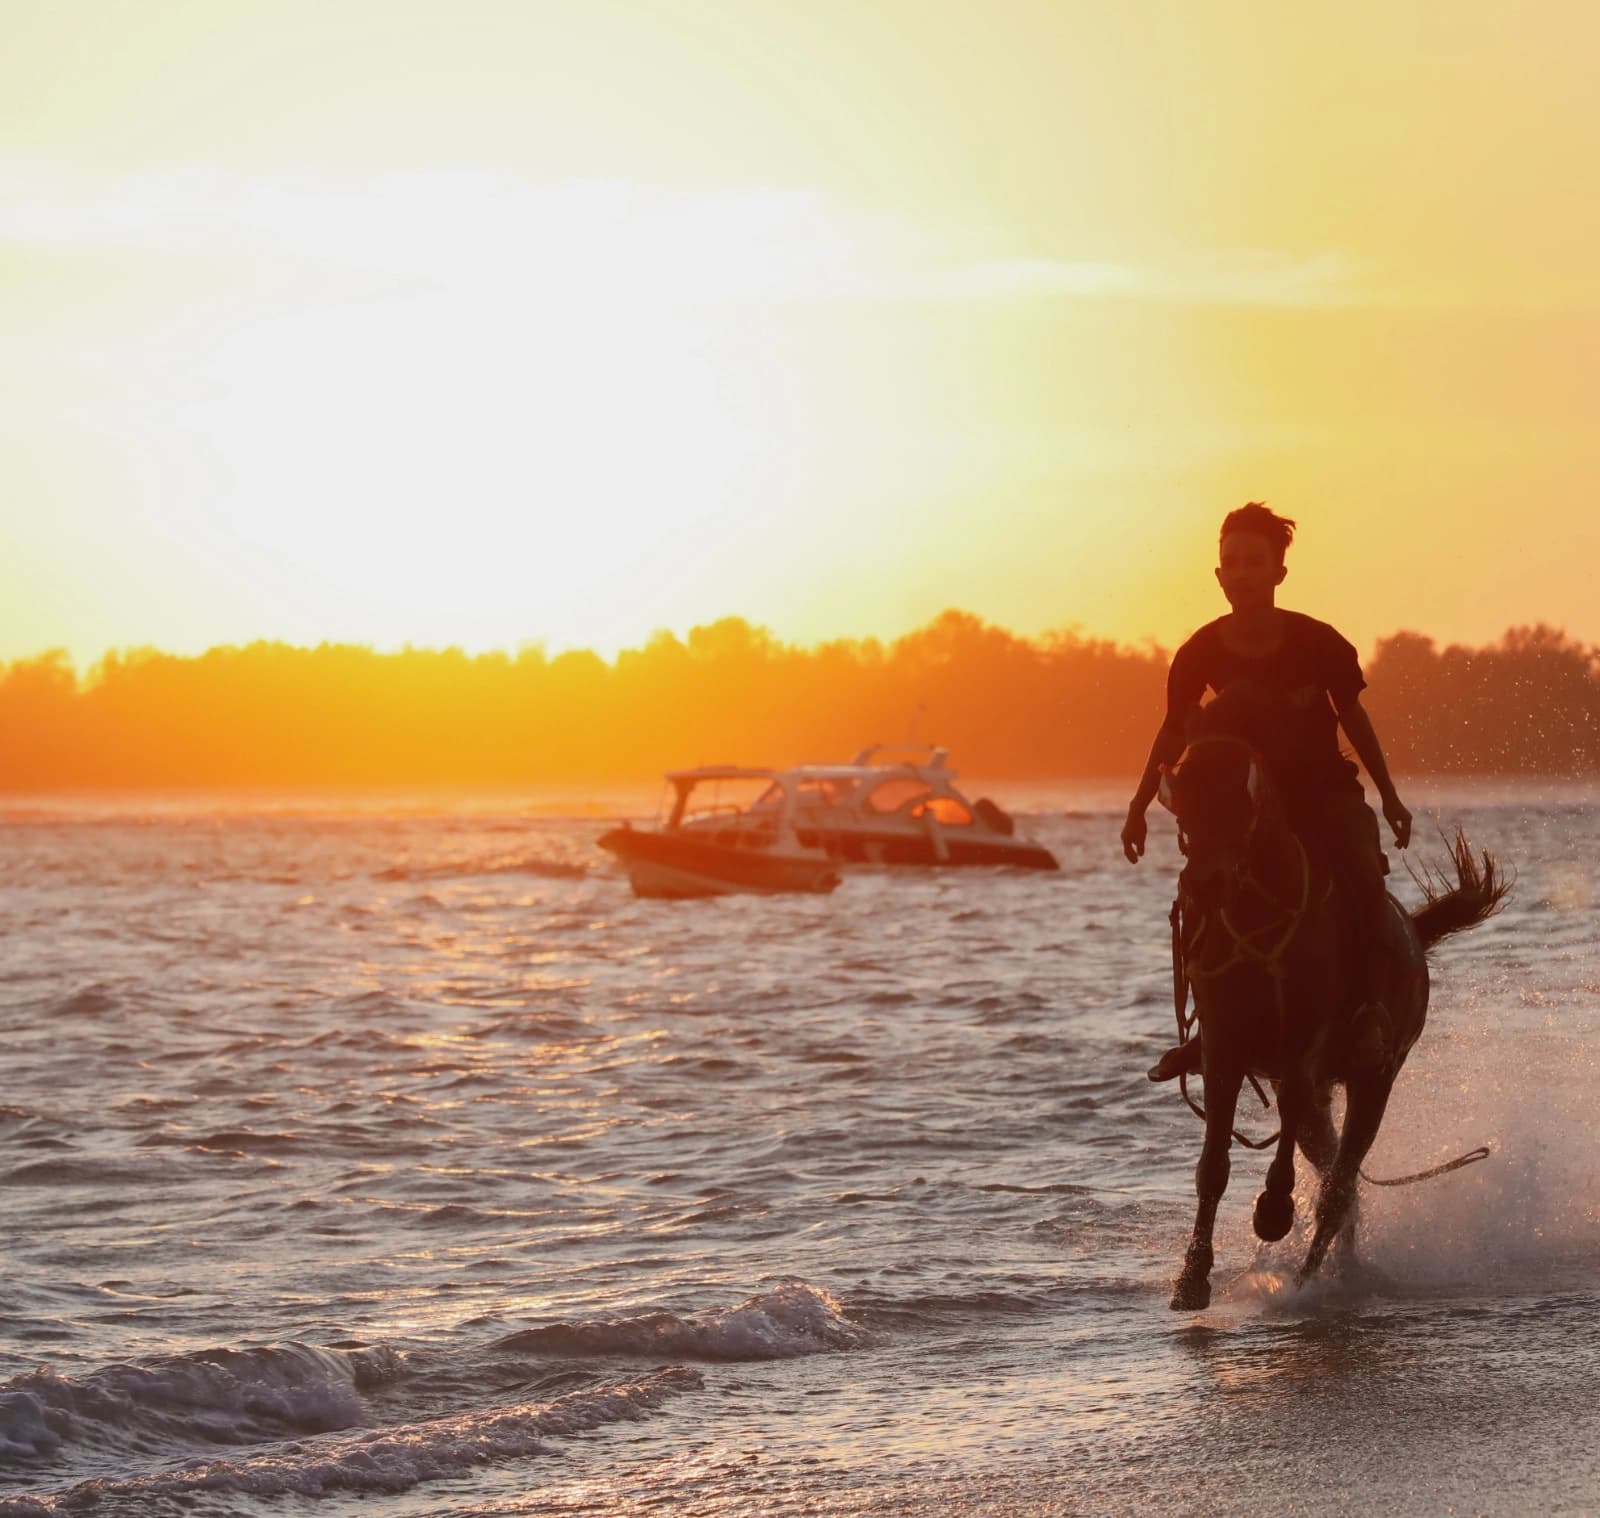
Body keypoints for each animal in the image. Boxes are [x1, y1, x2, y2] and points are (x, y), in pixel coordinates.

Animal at [1160, 700, 1507, 1311]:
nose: (1205, 883)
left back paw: (1314, 1277)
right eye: (1180, 795)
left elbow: (1293, 1121)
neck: (1259, 910)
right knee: (1335, 1177)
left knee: (1341, 1182)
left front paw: (1274, 1208)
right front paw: (1192, 1278)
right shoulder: (1225, 1047)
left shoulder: (1307, 1041)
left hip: (1376, 1078)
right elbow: (1213, 1164)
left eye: (1240, 795)